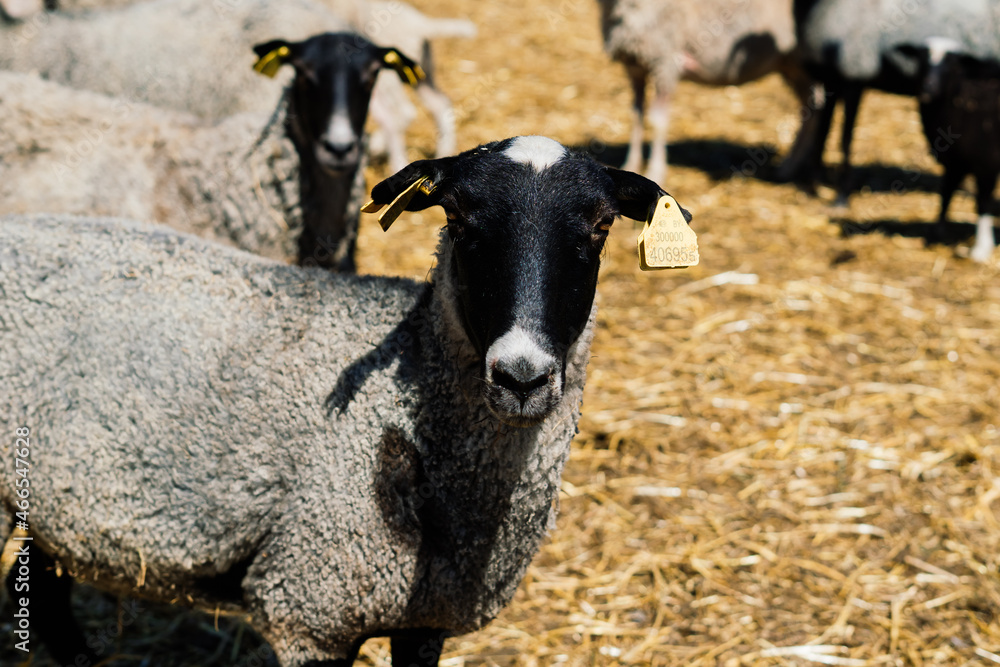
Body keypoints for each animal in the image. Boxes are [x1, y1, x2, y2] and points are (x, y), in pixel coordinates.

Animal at [597, 0, 810, 185]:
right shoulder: (635, 65)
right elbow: (636, 115)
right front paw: (630, 165)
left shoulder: (665, 62)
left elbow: (657, 121)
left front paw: (656, 171)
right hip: (791, 65)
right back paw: (790, 167)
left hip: (800, 60)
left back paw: (790, 167)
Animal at [779, 0, 1000, 205]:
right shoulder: (829, 77)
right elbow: (822, 133)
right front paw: (812, 187)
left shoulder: (855, 74)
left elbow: (845, 138)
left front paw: (841, 196)